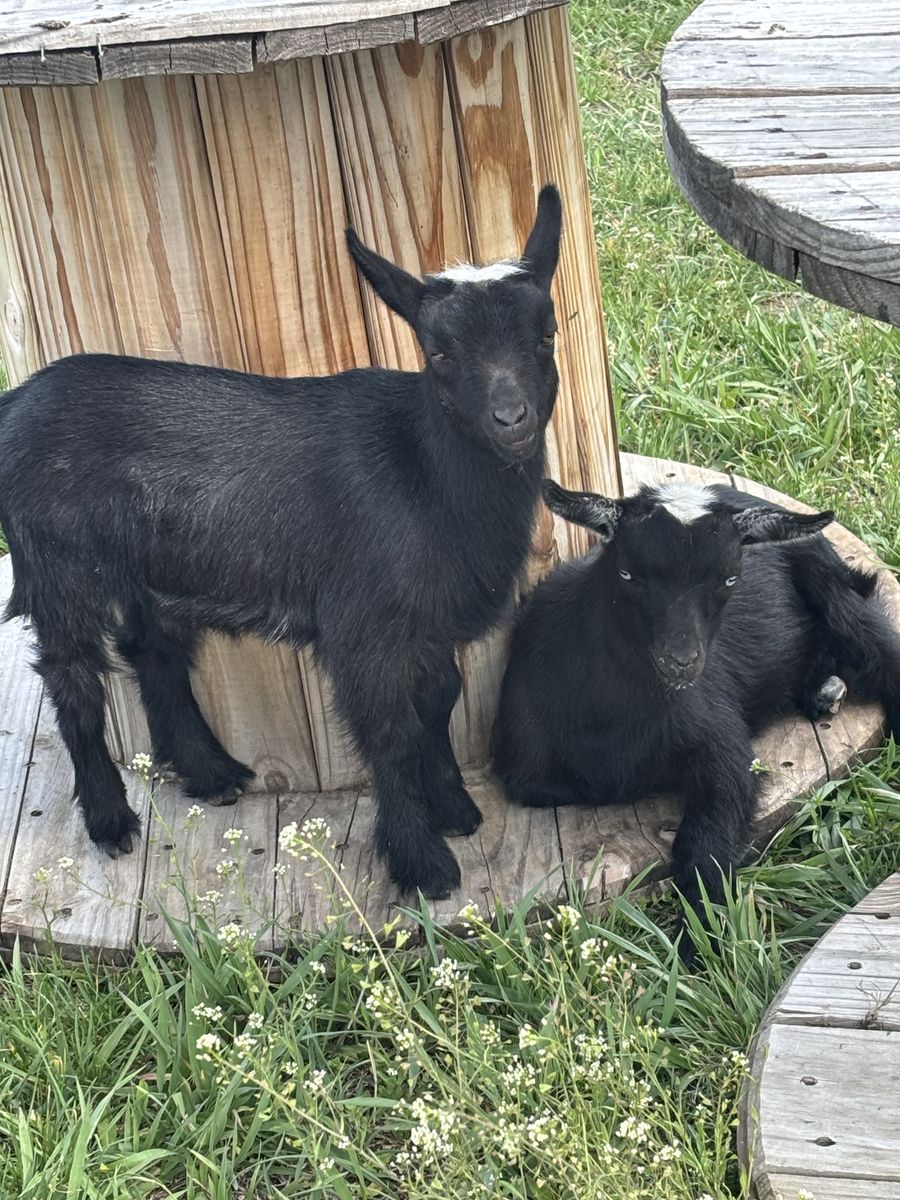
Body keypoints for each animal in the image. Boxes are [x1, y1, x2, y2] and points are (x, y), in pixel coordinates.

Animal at [0, 186, 564, 899]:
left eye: (545, 335)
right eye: (439, 352)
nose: (511, 419)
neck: (425, 472)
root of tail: (15, 404)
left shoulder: (426, 623)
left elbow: (438, 702)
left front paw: (455, 809)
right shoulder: (365, 626)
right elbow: (391, 732)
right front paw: (422, 861)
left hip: (153, 568)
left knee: (152, 651)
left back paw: (210, 773)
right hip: (58, 564)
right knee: (73, 678)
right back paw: (111, 819)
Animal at [493, 478, 900, 941]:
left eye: (730, 577)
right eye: (626, 572)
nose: (681, 661)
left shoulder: (724, 748)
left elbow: (703, 848)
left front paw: (700, 944)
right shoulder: (529, 774)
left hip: (838, 594)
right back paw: (821, 690)